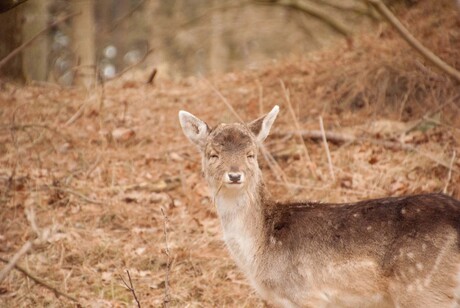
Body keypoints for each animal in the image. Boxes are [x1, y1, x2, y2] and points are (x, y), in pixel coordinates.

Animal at [179, 105, 460, 306]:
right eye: (213, 155)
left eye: (251, 154)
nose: (235, 175)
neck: (260, 251)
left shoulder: (307, 295)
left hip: (422, 289)